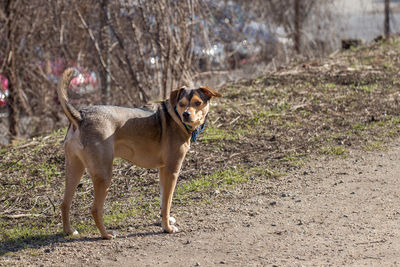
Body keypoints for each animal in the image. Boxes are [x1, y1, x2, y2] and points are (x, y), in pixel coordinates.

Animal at [58, 68, 223, 240]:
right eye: (182, 104)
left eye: (197, 102)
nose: (186, 114)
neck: (175, 117)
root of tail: (81, 116)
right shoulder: (172, 171)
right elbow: (167, 203)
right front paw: (167, 227)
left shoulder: (163, 171)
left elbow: (163, 201)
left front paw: (164, 221)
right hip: (104, 175)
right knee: (95, 209)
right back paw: (106, 234)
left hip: (74, 169)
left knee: (64, 203)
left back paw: (69, 231)